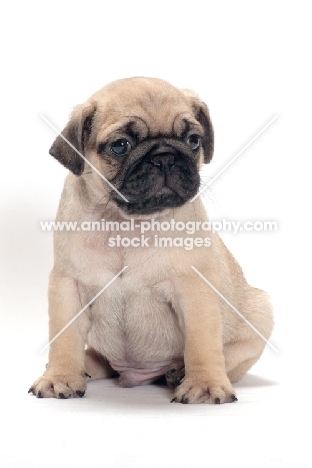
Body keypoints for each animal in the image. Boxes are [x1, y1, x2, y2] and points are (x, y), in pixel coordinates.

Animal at [29, 77, 272, 402]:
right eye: (120, 146)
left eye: (193, 140)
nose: (165, 157)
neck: (127, 224)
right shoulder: (68, 286)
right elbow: (64, 338)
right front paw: (60, 377)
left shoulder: (194, 289)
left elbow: (203, 343)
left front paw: (205, 384)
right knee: (100, 358)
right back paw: (85, 366)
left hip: (261, 313)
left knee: (230, 356)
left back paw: (179, 372)